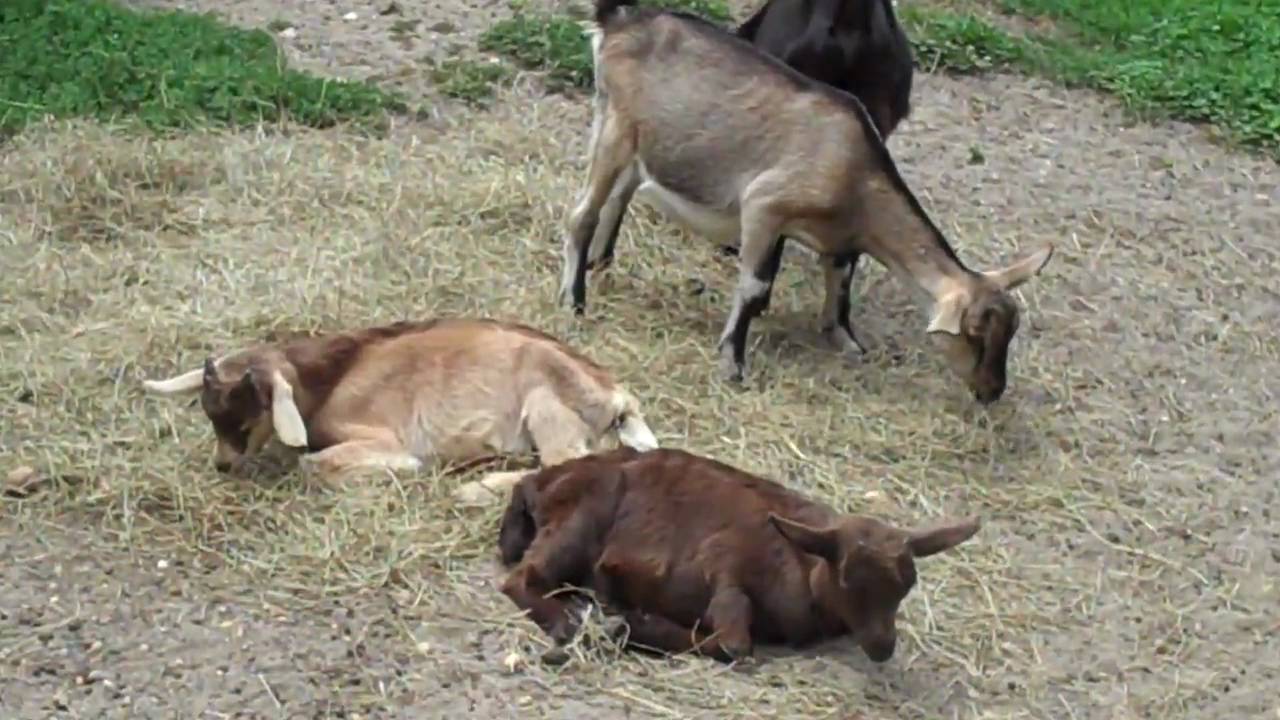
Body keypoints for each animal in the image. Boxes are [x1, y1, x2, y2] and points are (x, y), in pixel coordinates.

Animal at [141, 318, 659, 503]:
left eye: (248, 418)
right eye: (210, 416)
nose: (222, 465)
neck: (333, 376)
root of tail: (616, 398)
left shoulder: (376, 434)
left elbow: (315, 465)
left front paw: (406, 471)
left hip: (546, 405)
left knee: (569, 465)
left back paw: (477, 488)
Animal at [498, 447, 979, 663]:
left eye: (906, 587)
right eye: (848, 579)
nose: (883, 645)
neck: (803, 568)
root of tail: (539, 483)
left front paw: (630, 622)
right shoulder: (725, 570)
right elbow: (734, 644)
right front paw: (633, 626)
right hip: (578, 522)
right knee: (521, 581)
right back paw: (567, 623)